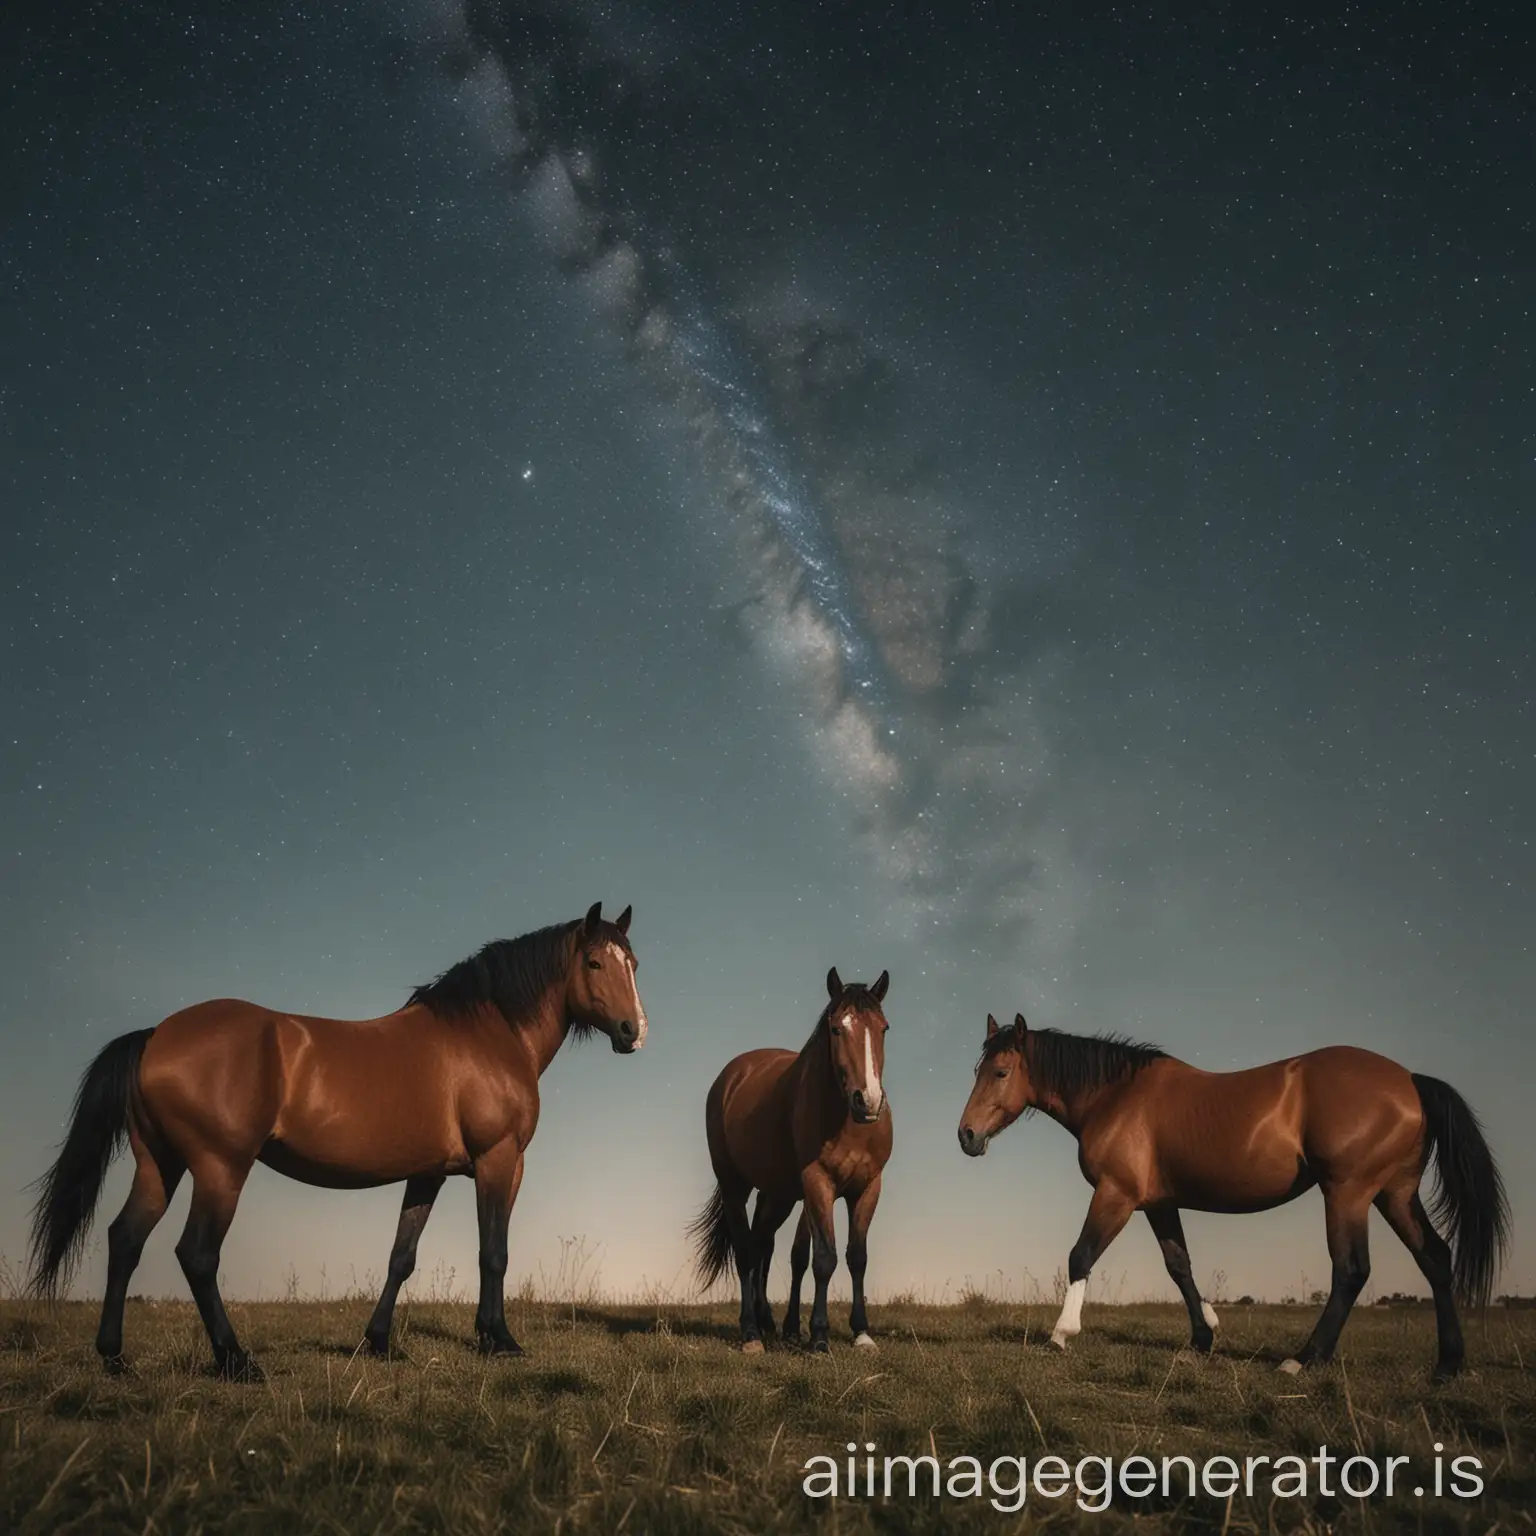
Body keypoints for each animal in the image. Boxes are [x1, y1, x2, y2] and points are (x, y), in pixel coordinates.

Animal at [31, 897, 648, 1382]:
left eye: (633, 963)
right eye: (594, 961)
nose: (633, 1032)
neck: (486, 1034)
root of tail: (157, 1034)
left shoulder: (426, 1174)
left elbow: (401, 1256)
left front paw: (378, 1342)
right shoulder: (500, 1162)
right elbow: (492, 1252)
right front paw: (499, 1340)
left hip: (160, 1166)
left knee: (124, 1240)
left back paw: (115, 1358)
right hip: (219, 1169)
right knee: (197, 1254)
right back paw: (237, 1361)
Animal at [691, 964, 897, 1351]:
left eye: (883, 1028)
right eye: (836, 1028)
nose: (869, 1100)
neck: (847, 1122)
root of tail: (731, 1076)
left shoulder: (867, 1187)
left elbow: (854, 1257)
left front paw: (861, 1333)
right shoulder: (818, 1183)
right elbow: (824, 1258)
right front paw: (818, 1336)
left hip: (778, 1195)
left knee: (762, 1244)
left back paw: (767, 1322)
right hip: (735, 1187)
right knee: (745, 1250)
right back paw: (751, 1332)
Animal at [952, 1007, 1505, 1382]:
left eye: (1000, 1072)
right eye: (976, 1071)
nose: (966, 1135)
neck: (1116, 1096)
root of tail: (1410, 1080)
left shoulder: (1117, 1195)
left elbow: (1080, 1255)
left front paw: (1061, 1333)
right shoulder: (1159, 1205)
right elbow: (1180, 1267)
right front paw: (1204, 1335)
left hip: (1348, 1194)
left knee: (1351, 1271)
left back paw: (1303, 1359)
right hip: (1395, 1193)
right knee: (1435, 1259)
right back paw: (1448, 1364)